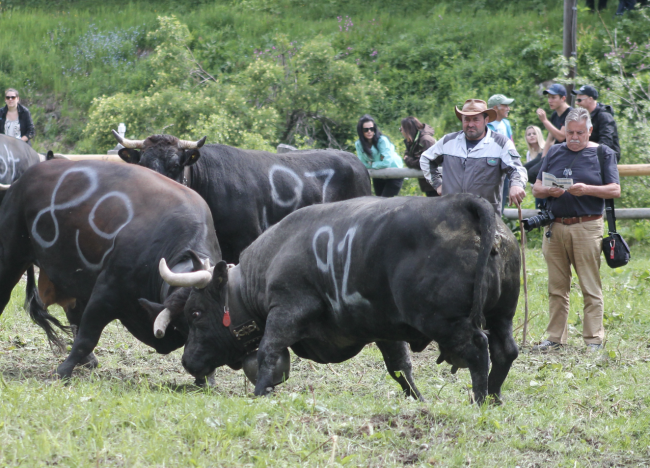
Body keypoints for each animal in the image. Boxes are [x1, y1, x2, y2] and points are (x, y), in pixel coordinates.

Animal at [0, 159, 220, 378]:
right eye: (195, 313)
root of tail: (22, 180)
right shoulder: (106, 291)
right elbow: (87, 337)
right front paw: (63, 370)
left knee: (73, 312)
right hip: (10, 257)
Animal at [154, 194, 520, 402]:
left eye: (196, 314)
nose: (187, 361)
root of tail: (464, 203)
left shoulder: (287, 310)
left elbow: (269, 353)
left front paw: (258, 394)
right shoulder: (386, 331)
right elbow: (400, 367)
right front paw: (417, 400)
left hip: (446, 321)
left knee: (479, 348)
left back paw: (480, 398)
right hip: (502, 316)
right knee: (505, 349)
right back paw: (495, 397)